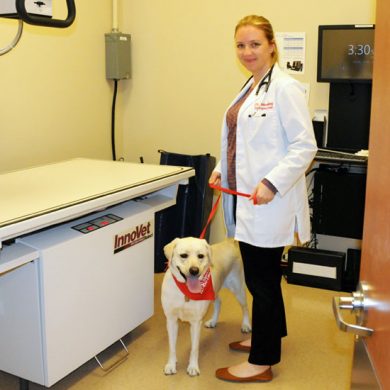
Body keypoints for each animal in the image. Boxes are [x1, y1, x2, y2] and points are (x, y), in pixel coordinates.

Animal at [161, 236, 250, 376]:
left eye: (200, 256)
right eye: (184, 255)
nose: (194, 270)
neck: (185, 292)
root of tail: (230, 241)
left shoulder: (195, 322)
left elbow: (194, 348)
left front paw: (193, 367)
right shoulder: (171, 320)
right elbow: (172, 347)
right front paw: (171, 365)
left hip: (238, 288)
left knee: (245, 307)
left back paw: (246, 325)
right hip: (214, 291)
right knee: (219, 302)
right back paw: (213, 321)